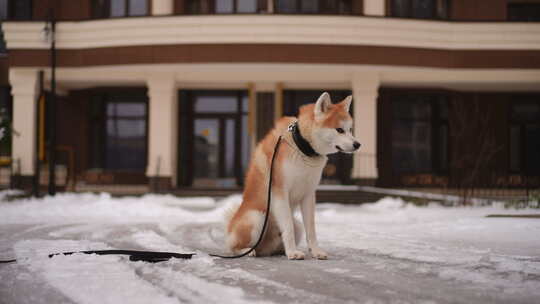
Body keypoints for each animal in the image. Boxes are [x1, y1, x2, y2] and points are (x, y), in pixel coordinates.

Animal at [226, 92, 360, 258]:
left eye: (350, 129)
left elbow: (311, 229)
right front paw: (292, 253)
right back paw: (247, 251)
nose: (357, 144)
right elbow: (288, 227)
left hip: (297, 226)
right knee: (236, 247)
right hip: (256, 217)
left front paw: (315, 252)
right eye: (339, 130)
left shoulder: (308, 194)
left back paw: (280, 250)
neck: (301, 147)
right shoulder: (280, 192)